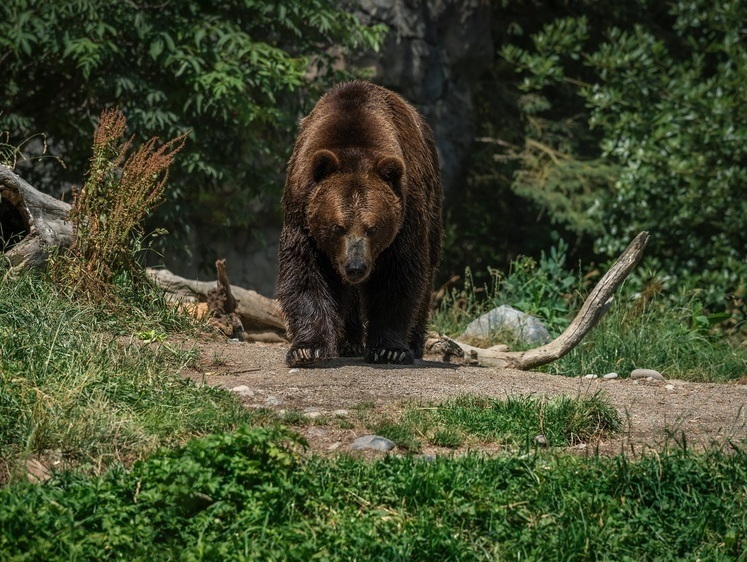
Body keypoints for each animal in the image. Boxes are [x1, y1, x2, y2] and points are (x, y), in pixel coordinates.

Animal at [276, 81, 442, 366]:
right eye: (338, 227)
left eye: (373, 228)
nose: (356, 267)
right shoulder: (302, 210)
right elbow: (305, 272)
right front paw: (307, 349)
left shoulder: (406, 214)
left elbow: (399, 275)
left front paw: (390, 349)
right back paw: (349, 342)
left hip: (432, 205)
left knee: (427, 273)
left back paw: (413, 343)